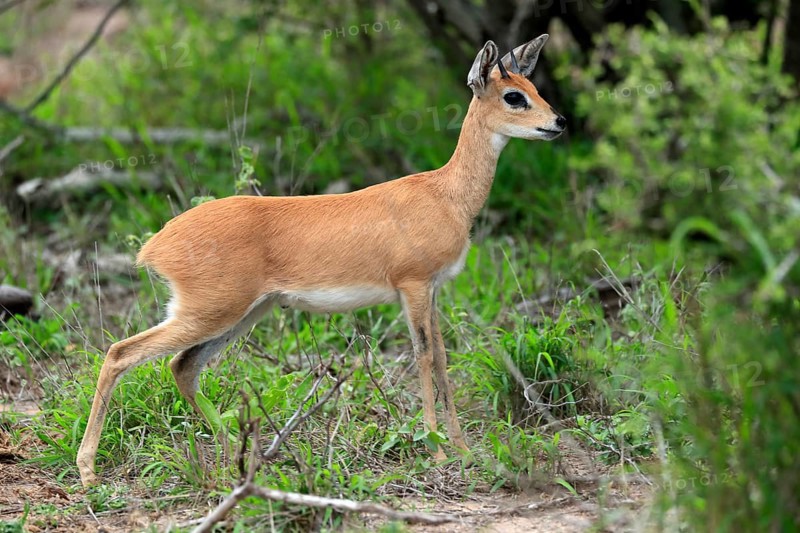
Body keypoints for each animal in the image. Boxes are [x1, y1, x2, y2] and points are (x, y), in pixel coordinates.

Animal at [77, 34, 566, 486]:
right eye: (514, 96)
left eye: (534, 86)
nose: (559, 122)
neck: (445, 194)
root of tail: (156, 243)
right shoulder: (412, 285)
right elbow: (424, 357)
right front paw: (439, 451)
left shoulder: (433, 289)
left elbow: (443, 359)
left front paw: (462, 449)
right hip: (210, 312)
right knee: (120, 353)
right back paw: (88, 471)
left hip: (244, 313)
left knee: (182, 366)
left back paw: (251, 457)